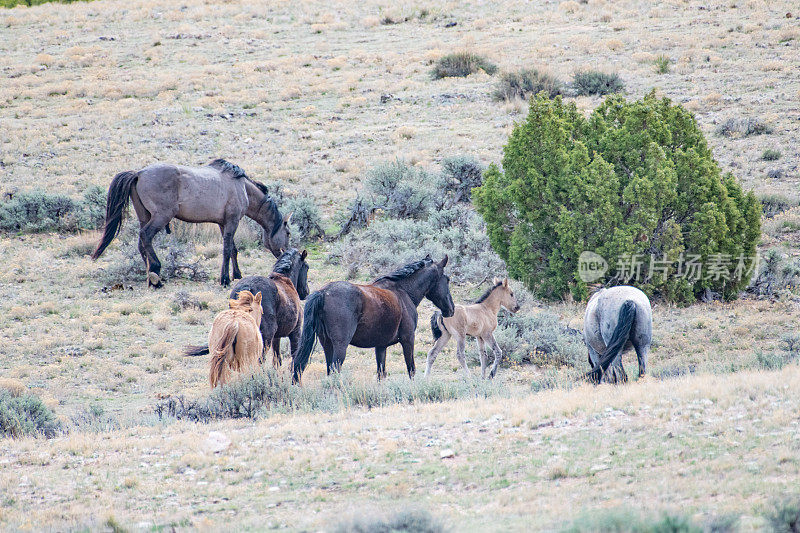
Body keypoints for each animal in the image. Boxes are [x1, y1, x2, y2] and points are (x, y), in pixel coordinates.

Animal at [91, 157, 290, 286]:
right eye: (288, 233)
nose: (285, 254)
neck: (241, 187)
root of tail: (138, 173)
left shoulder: (223, 223)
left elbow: (233, 249)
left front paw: (237, 275)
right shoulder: (232, 221)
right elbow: (227, 250)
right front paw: (225, 279)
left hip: (145, 216)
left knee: (141, 242)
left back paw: (151, 275)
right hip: (161, 216)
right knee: (146, 235)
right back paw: (156, 272)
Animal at [292, 255, 456, 382]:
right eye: (447, 279)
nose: (451, 309)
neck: (403, 291)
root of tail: (323, 292)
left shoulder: (381, 346)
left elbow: (381, 373)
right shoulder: (408, 339)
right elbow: (411, 369)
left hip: (327, 345)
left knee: (328, 370)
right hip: (340, 346)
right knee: (335, 371)